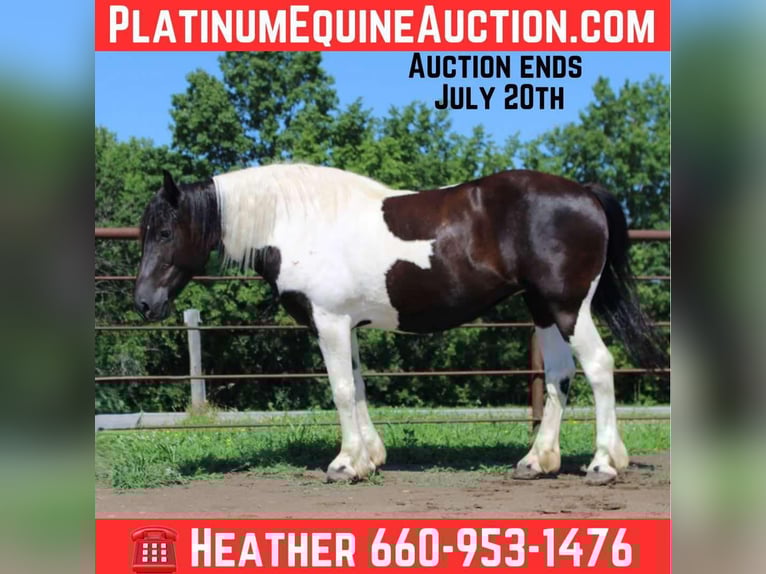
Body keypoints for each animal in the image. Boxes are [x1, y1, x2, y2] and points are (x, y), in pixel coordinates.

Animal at [134, 163, 667, 485]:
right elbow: (358, 388)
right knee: (559, 377)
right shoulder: (346, 325)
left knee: (598, 367)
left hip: (568, 307)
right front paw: (369, 458)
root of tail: (584, 192)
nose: (143, 303)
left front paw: (344, 464)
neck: (295, 222)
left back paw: (603, 464)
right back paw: (536, 462)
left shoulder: (329, 322)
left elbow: (341, 391)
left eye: (165, 232)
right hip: (543, 309)